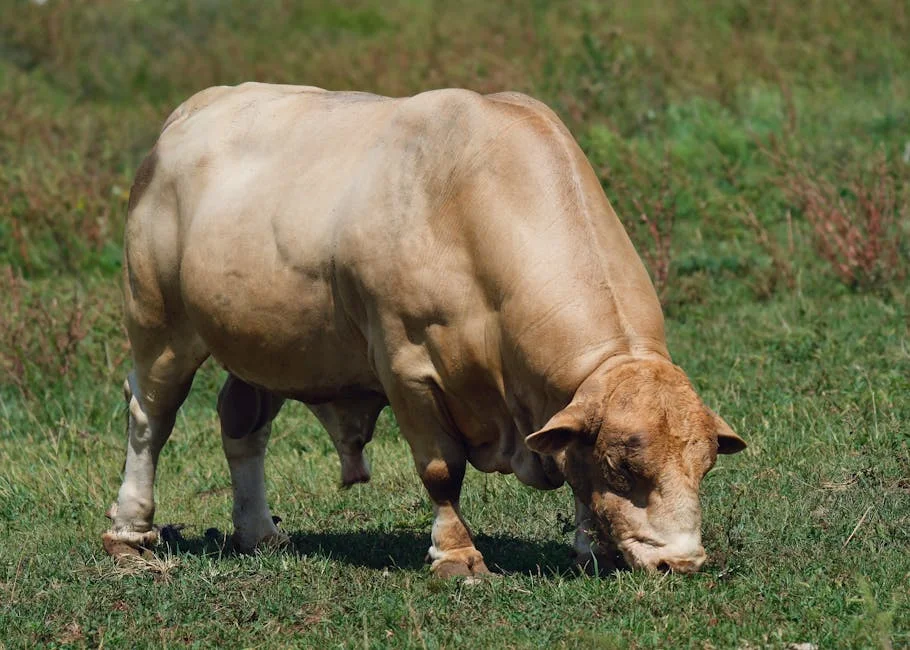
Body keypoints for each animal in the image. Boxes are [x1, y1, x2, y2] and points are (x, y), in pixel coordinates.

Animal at [102, 83, 746, 577]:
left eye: (705, 467)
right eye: (623, 468)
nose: (682, 562)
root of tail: (189, 113)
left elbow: (569, 460)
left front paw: (590, 546)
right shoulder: (407, 369)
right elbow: (441, 470)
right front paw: (457, 557)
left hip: (262, 342)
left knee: (242, 423)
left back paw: (259, 532)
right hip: (160, 325)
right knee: (150, 418)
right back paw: (131, 534)